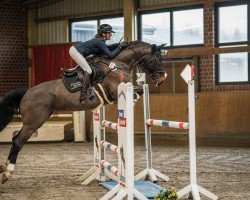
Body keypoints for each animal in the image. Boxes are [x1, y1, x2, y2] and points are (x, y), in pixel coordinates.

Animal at [0, 40, 168, 184]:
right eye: (156, 59)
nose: (162, 78)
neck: (118, 64)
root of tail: (27, 92)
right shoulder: (116, 91)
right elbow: (137, 90)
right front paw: (131, 102)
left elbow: (140, 89)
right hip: (34, 122)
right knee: (17, 141)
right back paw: (7, 173)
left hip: (34, 121)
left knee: (15, 138)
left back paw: (4, 167)